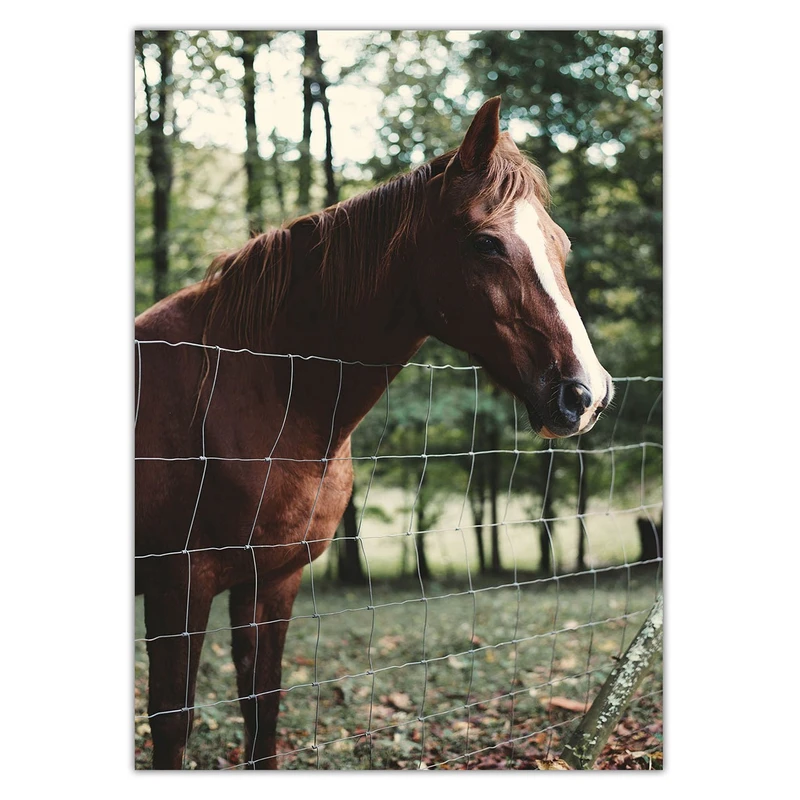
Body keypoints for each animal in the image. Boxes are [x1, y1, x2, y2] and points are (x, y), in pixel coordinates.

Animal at [134, 96, 614, 769]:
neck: (251, 388)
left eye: (561, 244)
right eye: (487, 243)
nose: (586, 393)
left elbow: (263, 712)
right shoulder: (178, 588)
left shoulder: (270, 583)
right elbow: (173, 723)